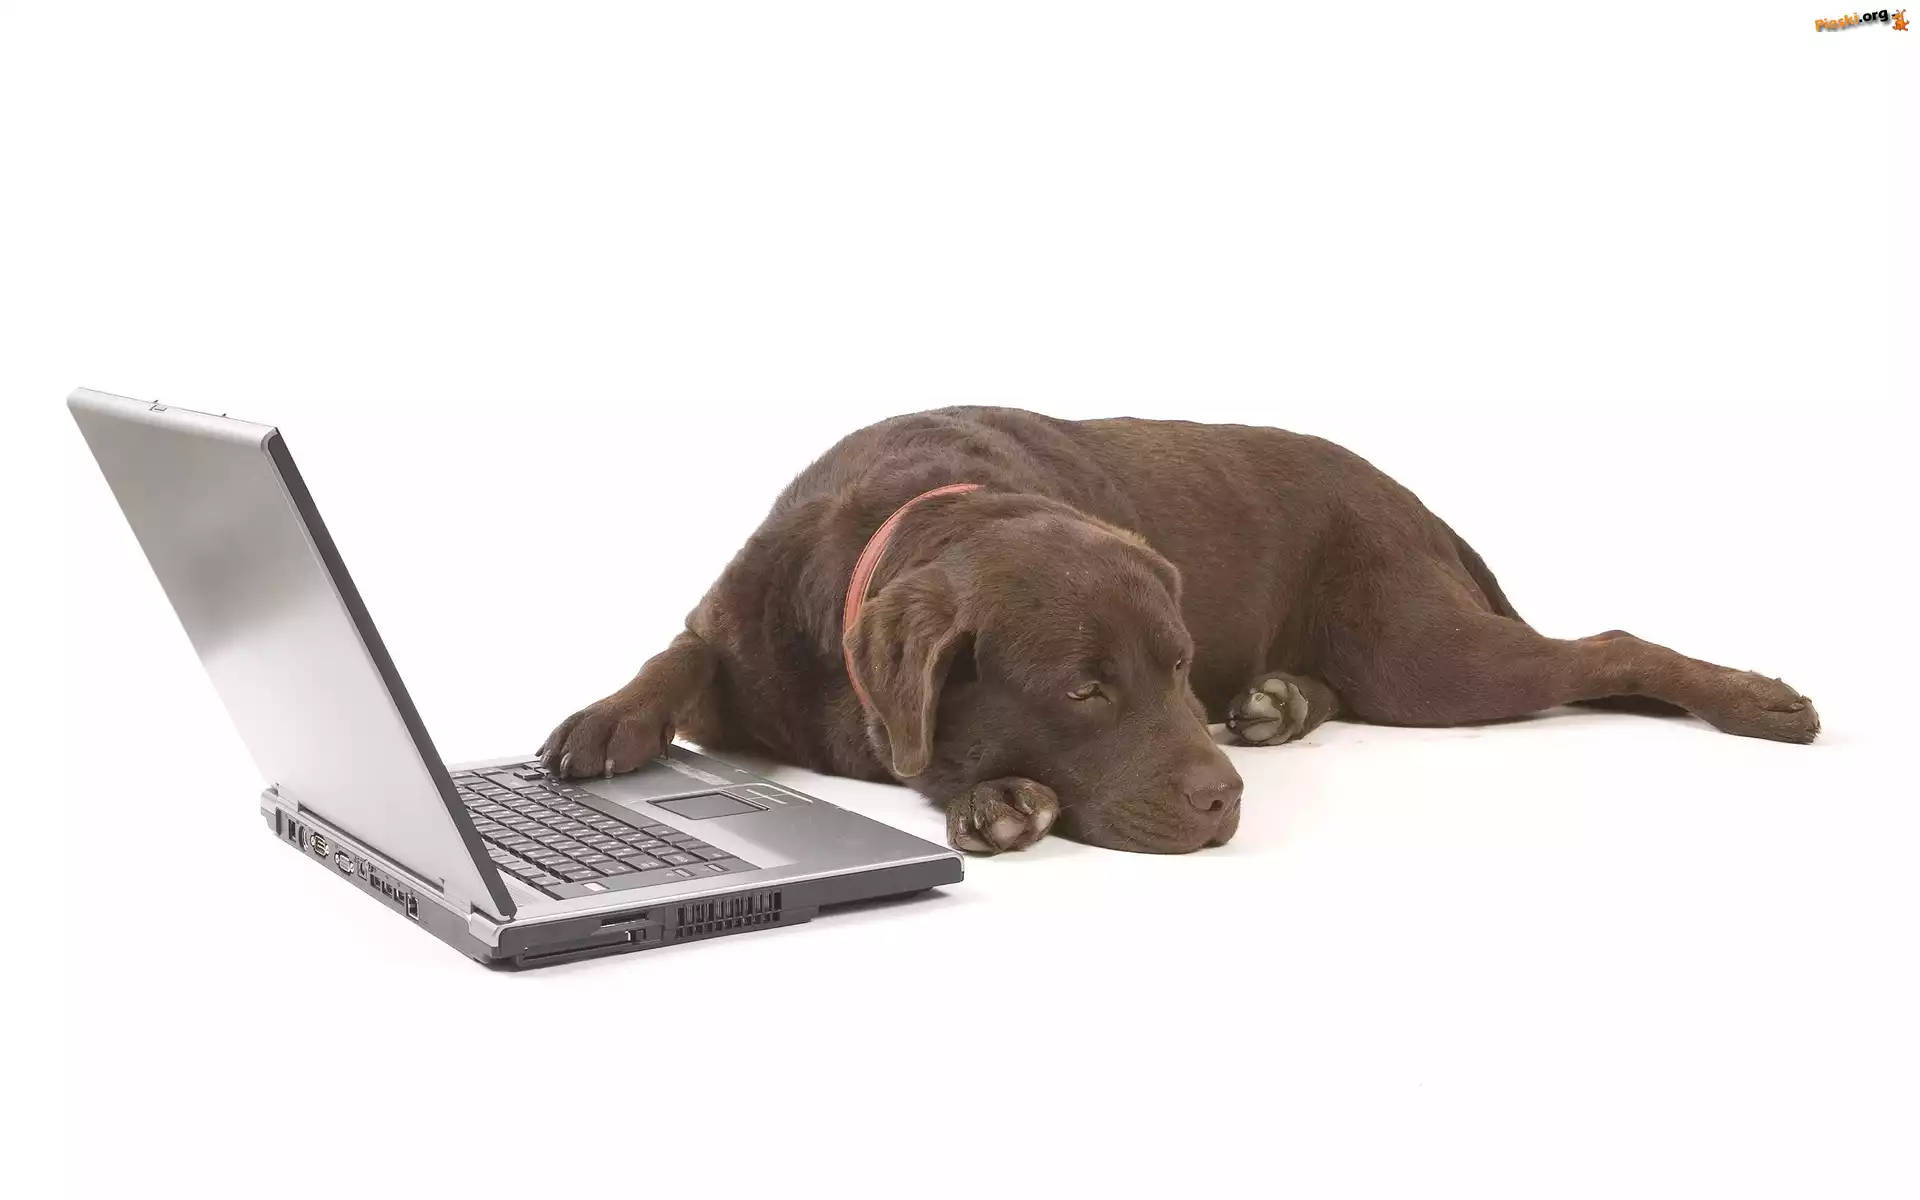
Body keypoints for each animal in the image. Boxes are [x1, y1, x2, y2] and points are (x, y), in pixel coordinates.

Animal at [540, 408, 1818, 855]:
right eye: (1086, 689)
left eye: (1177, 667)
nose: (1223, 802)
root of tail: (1408, 491)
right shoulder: (740, 627)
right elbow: (674, 654)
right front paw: (601, 724)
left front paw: (994, 800)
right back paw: (1281, 703)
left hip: (1427, 656)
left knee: (1605, 649)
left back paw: (1761, 698)